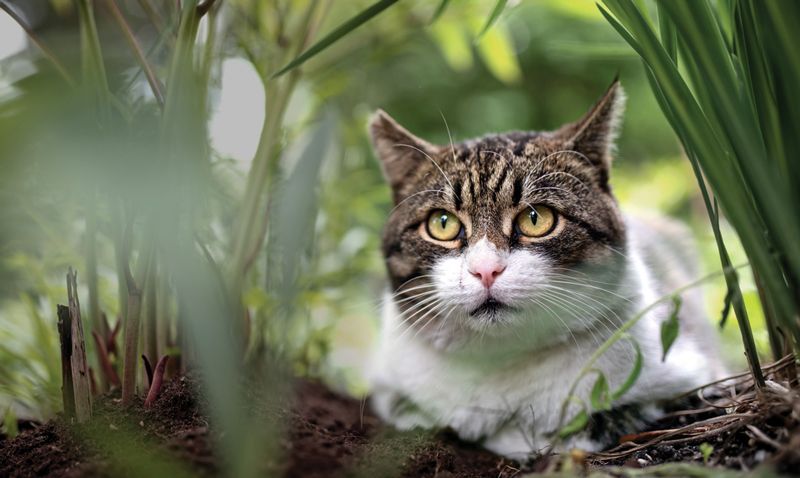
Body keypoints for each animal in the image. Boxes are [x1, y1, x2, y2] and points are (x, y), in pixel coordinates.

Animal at [366, 81, 728, 460]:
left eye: (536, 218)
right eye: (442, 223)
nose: (486, 270)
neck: (501, 363)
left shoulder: (693, 377)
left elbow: (600, 421)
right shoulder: (390, 389)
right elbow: (418, 413)